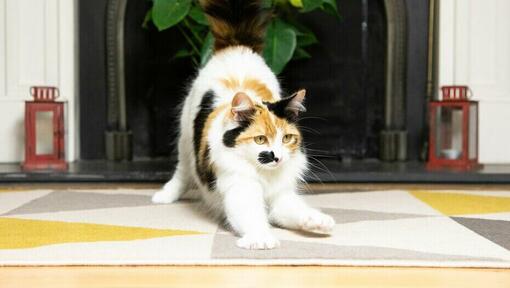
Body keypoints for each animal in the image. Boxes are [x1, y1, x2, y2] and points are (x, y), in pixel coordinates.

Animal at [151, 0, 334, 249]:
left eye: (287, 138)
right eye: (260, 139)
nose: (277, 157)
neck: (264, 176)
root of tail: (236, 46)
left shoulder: (281, 196)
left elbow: (295, 210)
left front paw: (317, 221)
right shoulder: (239, 189)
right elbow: (251, 216)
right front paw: (261, 238)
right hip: (185, 138)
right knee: (182, 170)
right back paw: (165, 195)